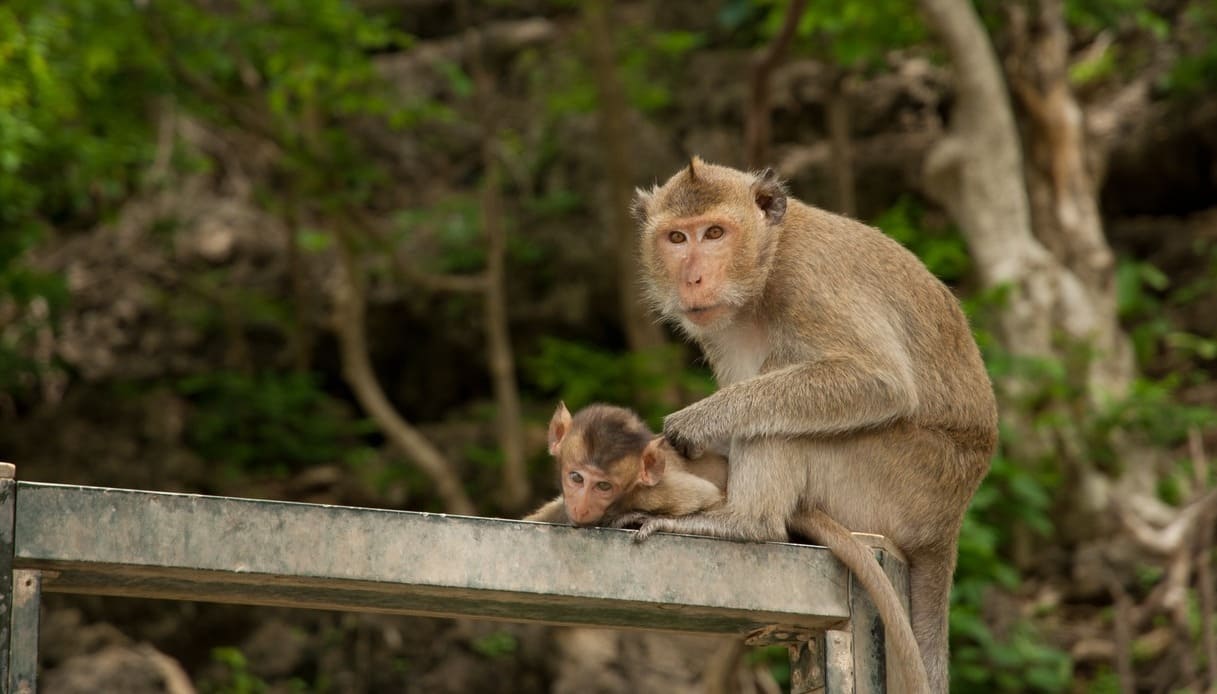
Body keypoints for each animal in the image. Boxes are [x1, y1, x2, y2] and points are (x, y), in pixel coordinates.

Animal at [523, 399, 929, 691]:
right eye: (576, 478)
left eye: (603, 485)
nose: (583, 504)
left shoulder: (660, 490)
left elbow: (706, 499)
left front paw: (651, 520)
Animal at [627, 158, 997, 691]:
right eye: (677, 237)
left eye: (715, 233)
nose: (692, 278)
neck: (766, 265)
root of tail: (948, 523)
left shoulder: (808, 282)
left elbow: (878, 382)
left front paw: (695, 422)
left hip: (899, 481)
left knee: (775, 416)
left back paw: (743, 523)